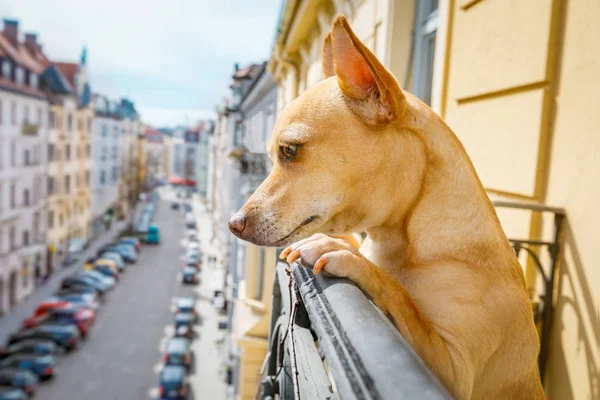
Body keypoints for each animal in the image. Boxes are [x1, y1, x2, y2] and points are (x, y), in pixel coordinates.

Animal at [227, 15, 548, 400]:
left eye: (290, 150)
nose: (233, 223)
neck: (402, 238)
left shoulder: (453, 371)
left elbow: (400, 296)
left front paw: (348, 256)